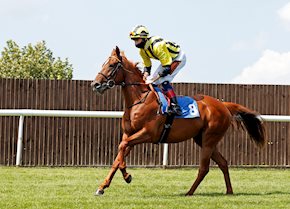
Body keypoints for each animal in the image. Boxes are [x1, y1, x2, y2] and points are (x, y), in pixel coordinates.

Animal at [90, 46, 266, 197]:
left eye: (112, 65)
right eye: (103, 64)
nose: (95, 84)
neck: (139, 99)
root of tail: (223, 105)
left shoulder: (148, 134)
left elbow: (122, 148)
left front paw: (127, 176)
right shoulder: (129, 134)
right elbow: (118, 156)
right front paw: (102, 187)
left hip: (209, 139)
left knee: (204, 168)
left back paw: (189, 192)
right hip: (202, 139)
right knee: (223, 162)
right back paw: (229, 191)